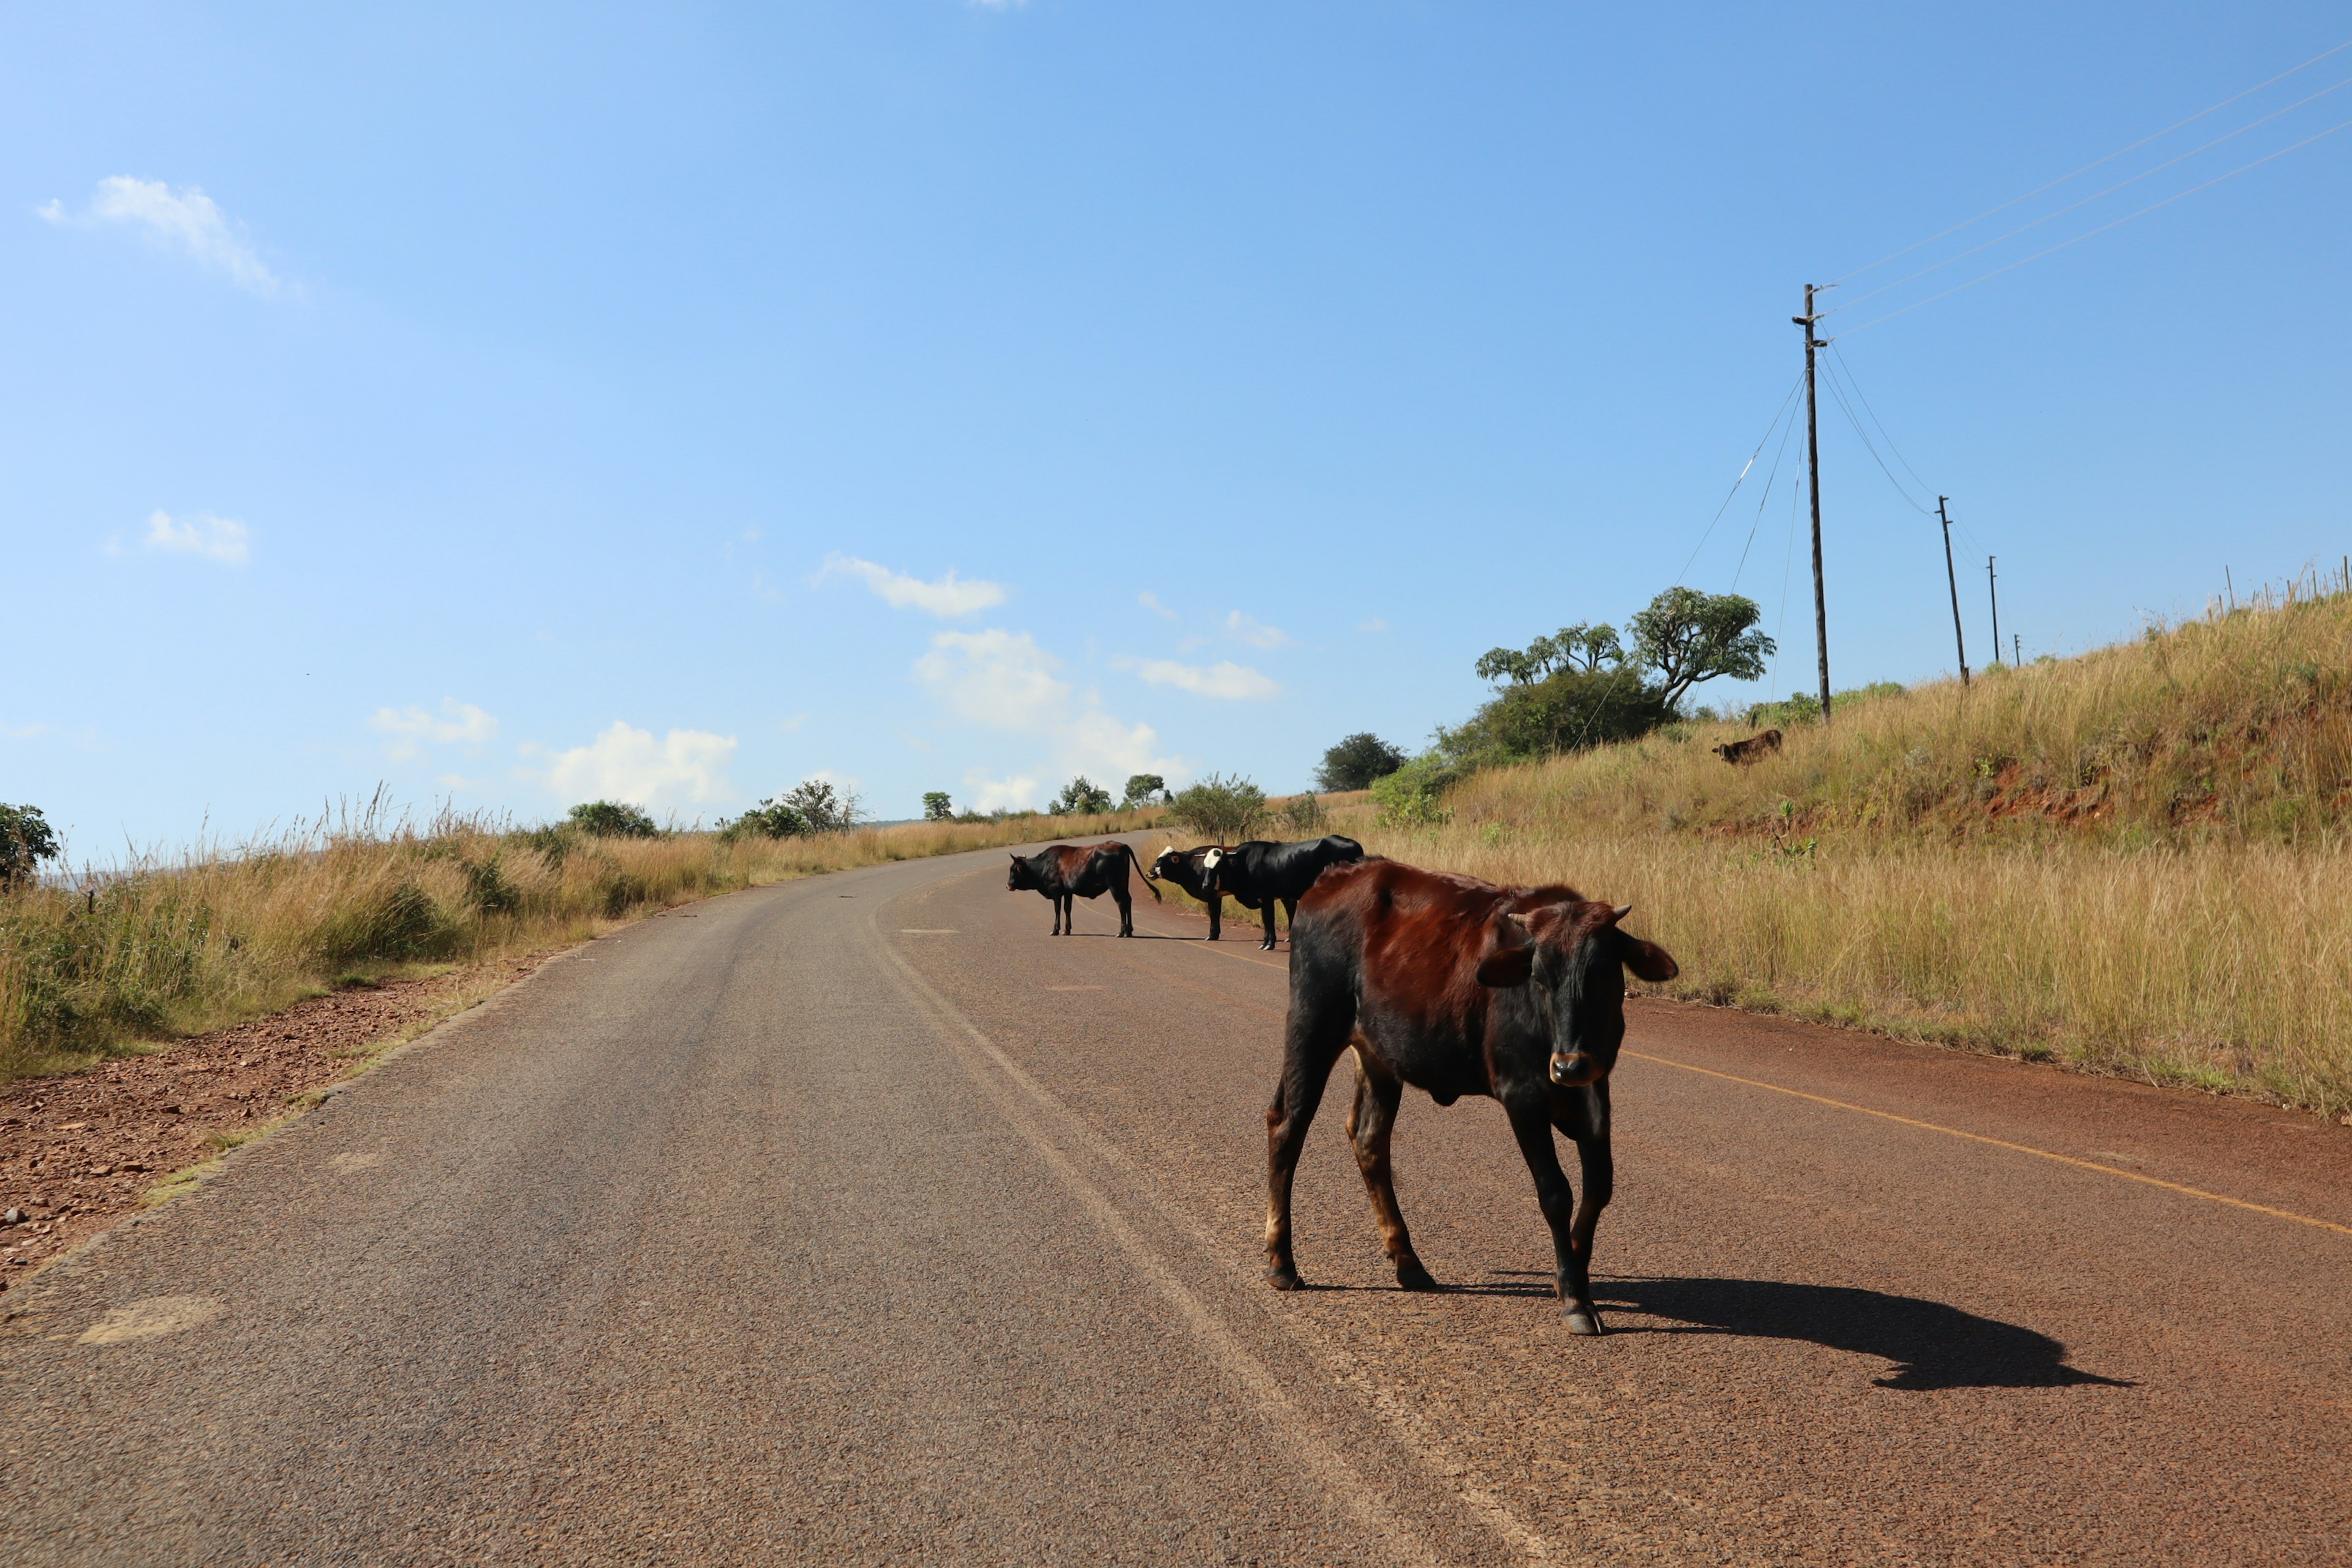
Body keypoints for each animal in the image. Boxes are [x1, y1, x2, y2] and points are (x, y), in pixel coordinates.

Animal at [1006, 842, 1161, 940]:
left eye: (1013, 869)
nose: (1008, 886)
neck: (1045, 864)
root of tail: (1122, 846)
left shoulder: (1056, 892)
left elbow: (1057, 910)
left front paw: (1056, 930)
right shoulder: (1068, 892)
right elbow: (1067, 909)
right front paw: (1067, 930)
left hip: (1115, 886)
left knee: (1121, 903)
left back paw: (1122, 931)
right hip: (1123, 884)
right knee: (1128, 901)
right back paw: (1129, 931)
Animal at [1204, 842, 1373, 949]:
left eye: (1219, 865)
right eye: (1206, 866)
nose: (1206, 885)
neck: (1245, 863)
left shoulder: (1267, 897)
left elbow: (1269, 920)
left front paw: (1269, 944)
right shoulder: (1265, 899)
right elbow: (1267, 921)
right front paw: (1266, 942)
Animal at [1261, 860, 1684, 1335]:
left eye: (1602, 974)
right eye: (1540, 978)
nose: (1568, 1066)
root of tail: (1336, 875)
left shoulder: (1596, 1098)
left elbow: (1599, 1188)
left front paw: (1568, 1274)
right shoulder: (1523, 1099)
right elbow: (1556, 1192)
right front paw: (1575, 1295)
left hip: (1379, 1058)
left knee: (1369, 1139)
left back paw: (1408, 1260)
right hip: (1311, 1029)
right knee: (1288, 1124)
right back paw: (1282, 1261)